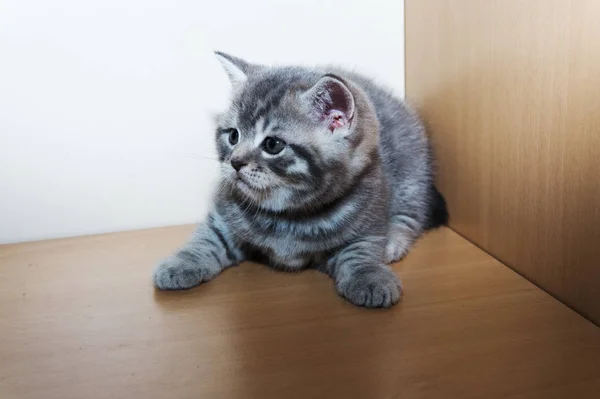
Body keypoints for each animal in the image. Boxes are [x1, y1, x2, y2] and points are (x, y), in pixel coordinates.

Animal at [152, 52, 448, 310]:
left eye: (272, 144)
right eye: (233, 136)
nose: (235, 162)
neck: (288, 216)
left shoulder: (367, 219)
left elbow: (360, 251)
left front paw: (371, 277)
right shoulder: (224, 216)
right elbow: (206, 239)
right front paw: (179, 265)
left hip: (411, 168)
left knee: (411, 211)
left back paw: (393, 242)